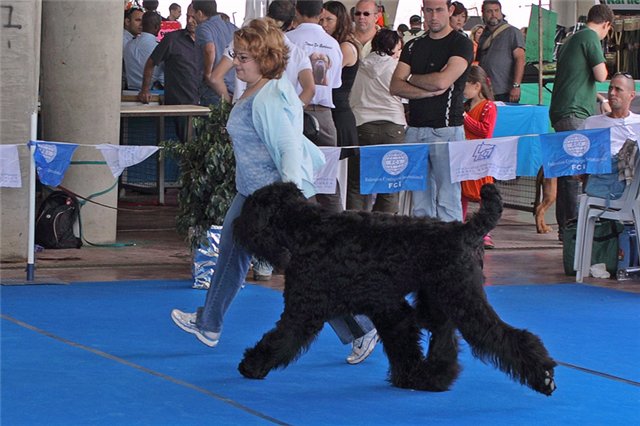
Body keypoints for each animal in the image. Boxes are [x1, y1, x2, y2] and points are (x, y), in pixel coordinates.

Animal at [233, 182, 557, 396]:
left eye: (251, 208)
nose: (236, 226)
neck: (307, 229)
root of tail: (467, 230)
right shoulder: (388, 306)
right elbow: (402, 340)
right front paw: (409, 375)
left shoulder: (304, 308)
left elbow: (282, 336)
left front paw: (252, 365)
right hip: (439, 301)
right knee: (445, 338)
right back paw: (434, 378)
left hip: (463, 299)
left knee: (505, 335)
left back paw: (543, 376)